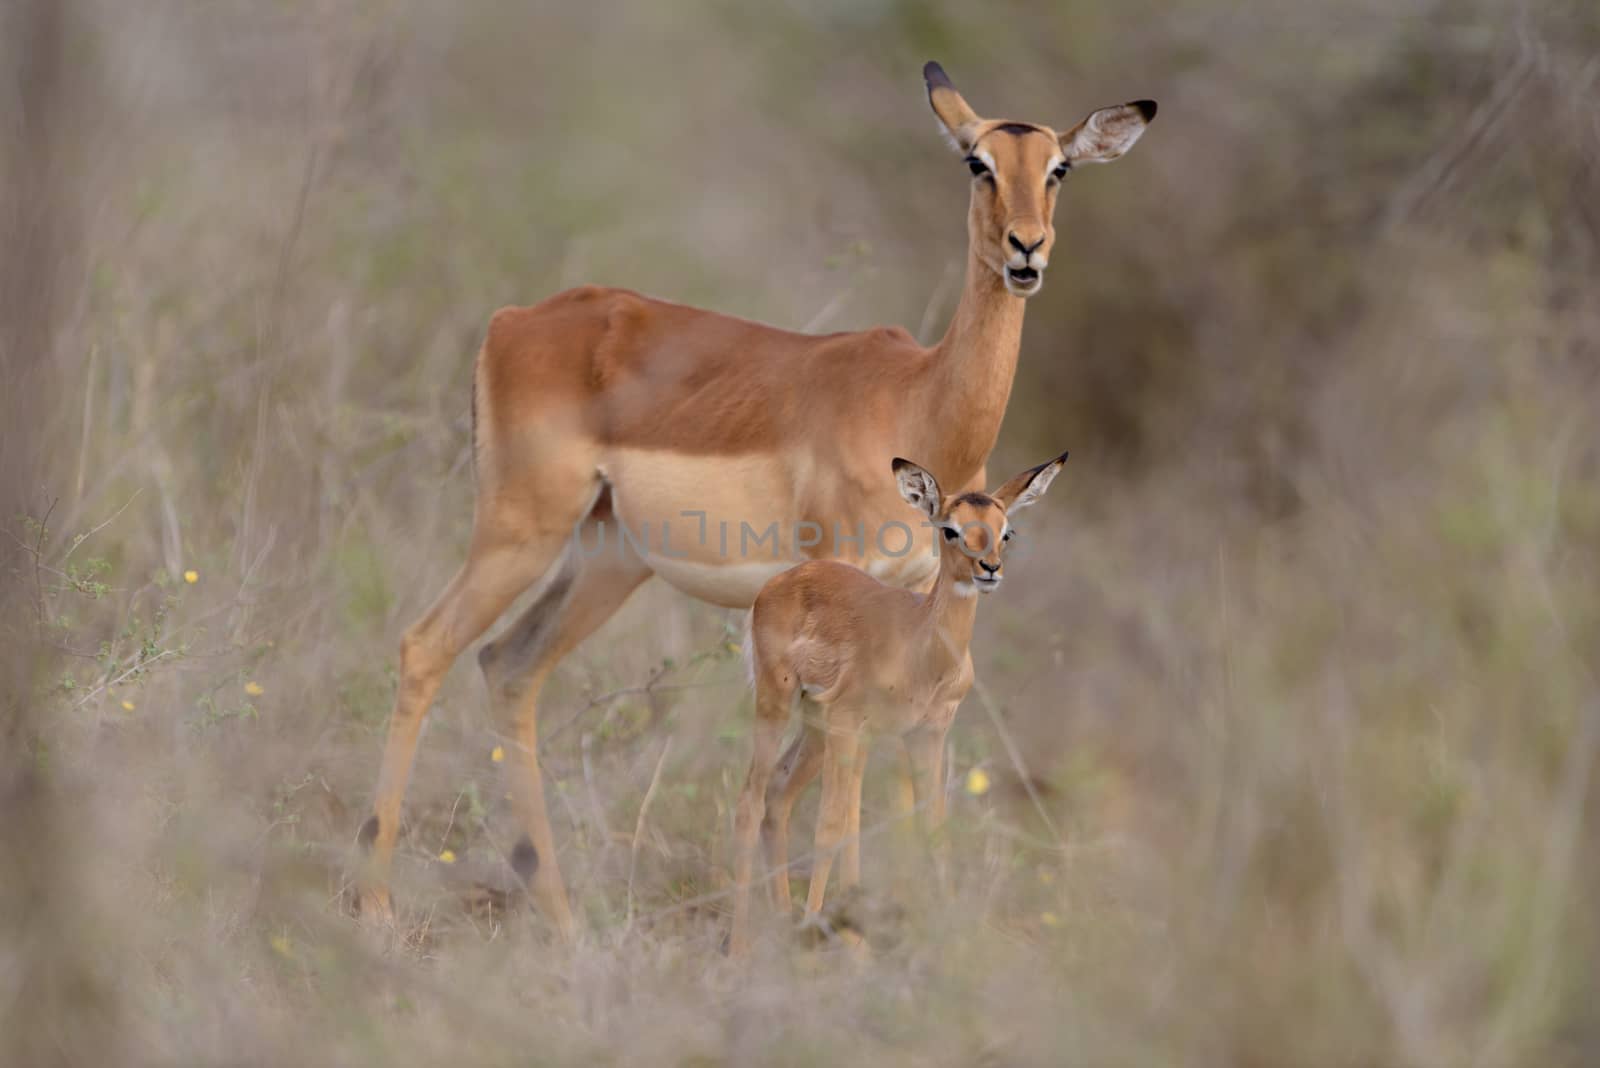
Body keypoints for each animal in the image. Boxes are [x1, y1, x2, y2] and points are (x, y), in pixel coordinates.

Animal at [732, 447, 1068, 952]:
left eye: (1005, 530)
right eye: (950, 528)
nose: (989, 569)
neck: (920, 649)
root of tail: (780, 583)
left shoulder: (925, 733)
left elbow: (932, 826)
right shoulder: (852, 725)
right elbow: (831, 826)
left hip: (817, 727)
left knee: (778, 794)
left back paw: (783, 923)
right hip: (781, 703)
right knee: (752, 800)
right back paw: (740, 942)